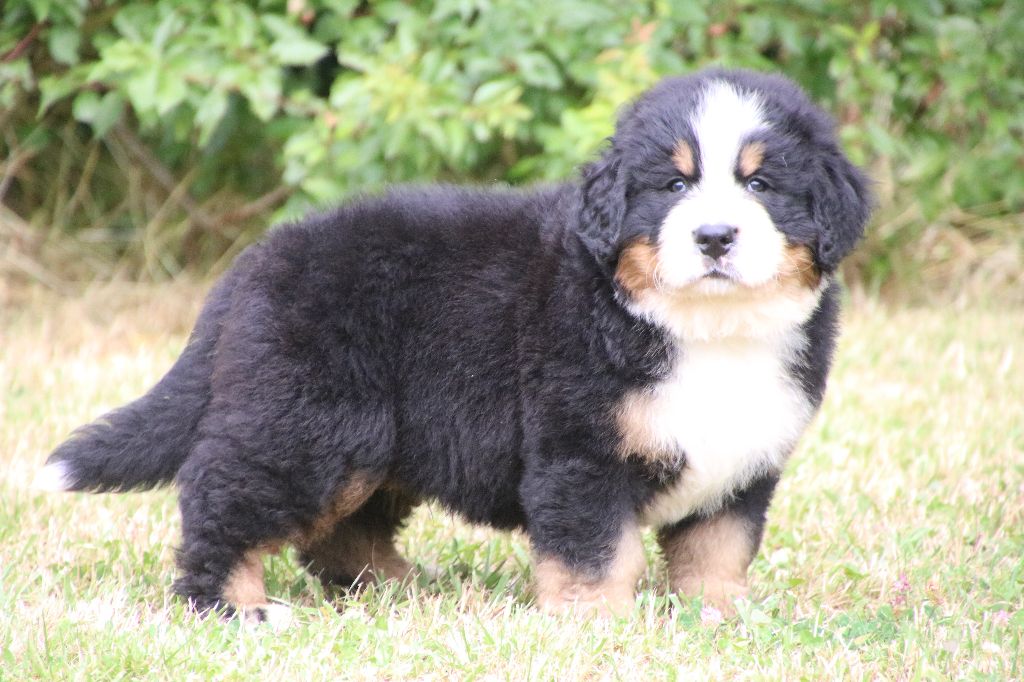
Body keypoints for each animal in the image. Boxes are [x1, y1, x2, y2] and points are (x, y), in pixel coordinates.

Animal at [39, 67, 872, 614]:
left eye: (761, 185)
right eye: (673, 186)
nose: (714, 236)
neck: (699, 326)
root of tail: (257, 260)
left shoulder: (742, 461)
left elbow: (717, 550)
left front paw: (719, 618)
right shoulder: (580, 451)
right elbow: (596, 550)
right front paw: (593, 625)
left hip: (376, 442)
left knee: (341, 531)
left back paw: (401, 587)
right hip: (309, 424)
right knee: (224, 498)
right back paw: (236, 607)